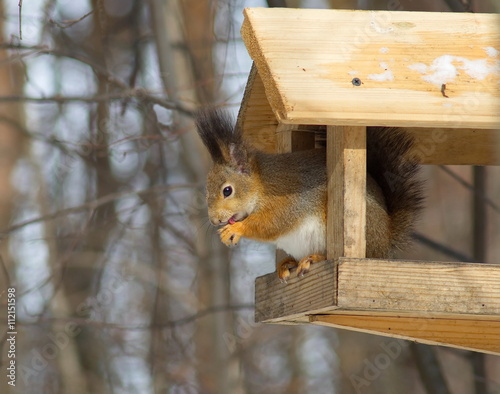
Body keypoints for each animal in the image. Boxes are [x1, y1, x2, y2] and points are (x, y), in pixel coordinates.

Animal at [194, 107, 422, 280]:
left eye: (227, 190)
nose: (214, 221)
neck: (261, 185)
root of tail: (385, 243)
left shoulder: (287, 198)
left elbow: (273, 223)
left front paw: (236, 229)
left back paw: (314, 258)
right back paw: (288, 263)